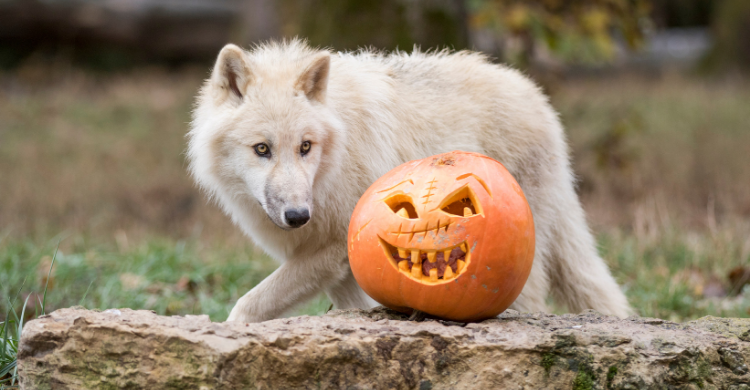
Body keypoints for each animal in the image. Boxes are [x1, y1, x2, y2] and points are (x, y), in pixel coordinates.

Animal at [188, 39, 636, 322]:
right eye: (262, 149)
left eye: (305, 147)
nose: (298, 216)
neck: (332, 164)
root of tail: (538, 97)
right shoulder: (340, 268)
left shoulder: (333, 248)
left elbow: (246, 307)